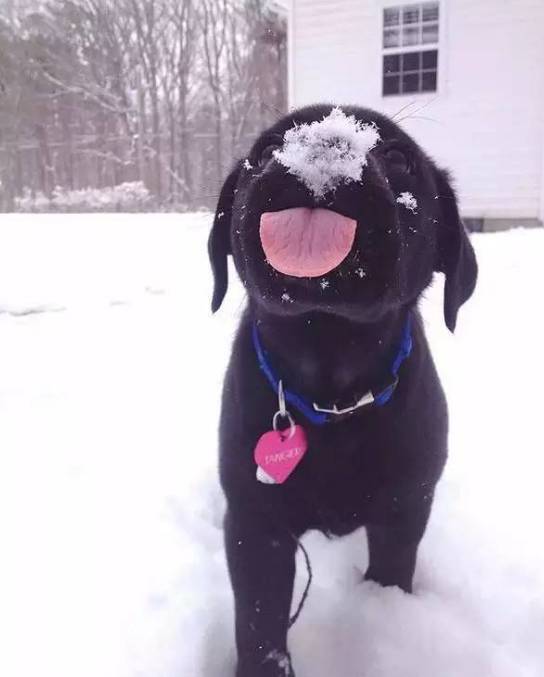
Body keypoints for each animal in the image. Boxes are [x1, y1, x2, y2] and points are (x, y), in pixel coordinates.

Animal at [208, 103, 476, 672]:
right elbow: (259, 624)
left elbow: (391, 574)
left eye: (398, 157)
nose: (326, 141)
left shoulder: (403, 509)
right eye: (266, 150)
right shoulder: (255, 523)